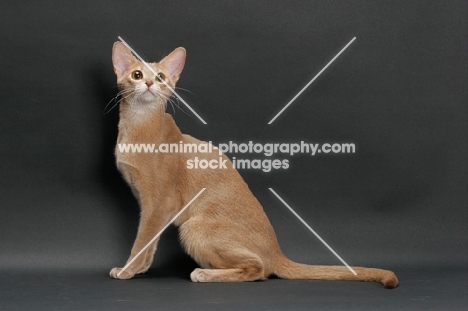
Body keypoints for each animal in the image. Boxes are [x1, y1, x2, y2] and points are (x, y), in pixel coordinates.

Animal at [109, 42, 398, 290]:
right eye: (137, 74)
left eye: (160, 77)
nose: (148, 83)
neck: (138, 126)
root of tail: (276, 251)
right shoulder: (148, 204)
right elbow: (150, 243)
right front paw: (140, 269)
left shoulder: (160, 203)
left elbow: (141, 240)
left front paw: (127, 270)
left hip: (194, 228)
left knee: (259, 270)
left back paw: (205, 274)